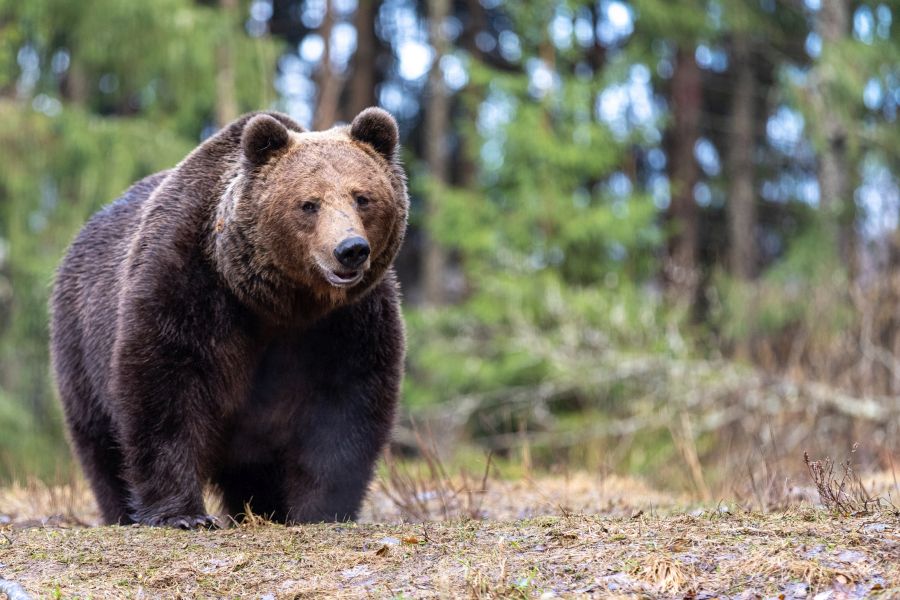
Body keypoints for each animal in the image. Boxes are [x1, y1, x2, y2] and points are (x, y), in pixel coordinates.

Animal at [51, 108, 410, 524]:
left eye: (362, 197)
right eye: (309, 203)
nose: (349, 249)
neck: (279, 303)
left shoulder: (348, 323)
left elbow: (347, 409)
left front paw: (321, 509)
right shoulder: (188, 288)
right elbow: (165, 389)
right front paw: (183, 514)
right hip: (80, 347)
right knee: (101, 444)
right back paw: (122, 511)